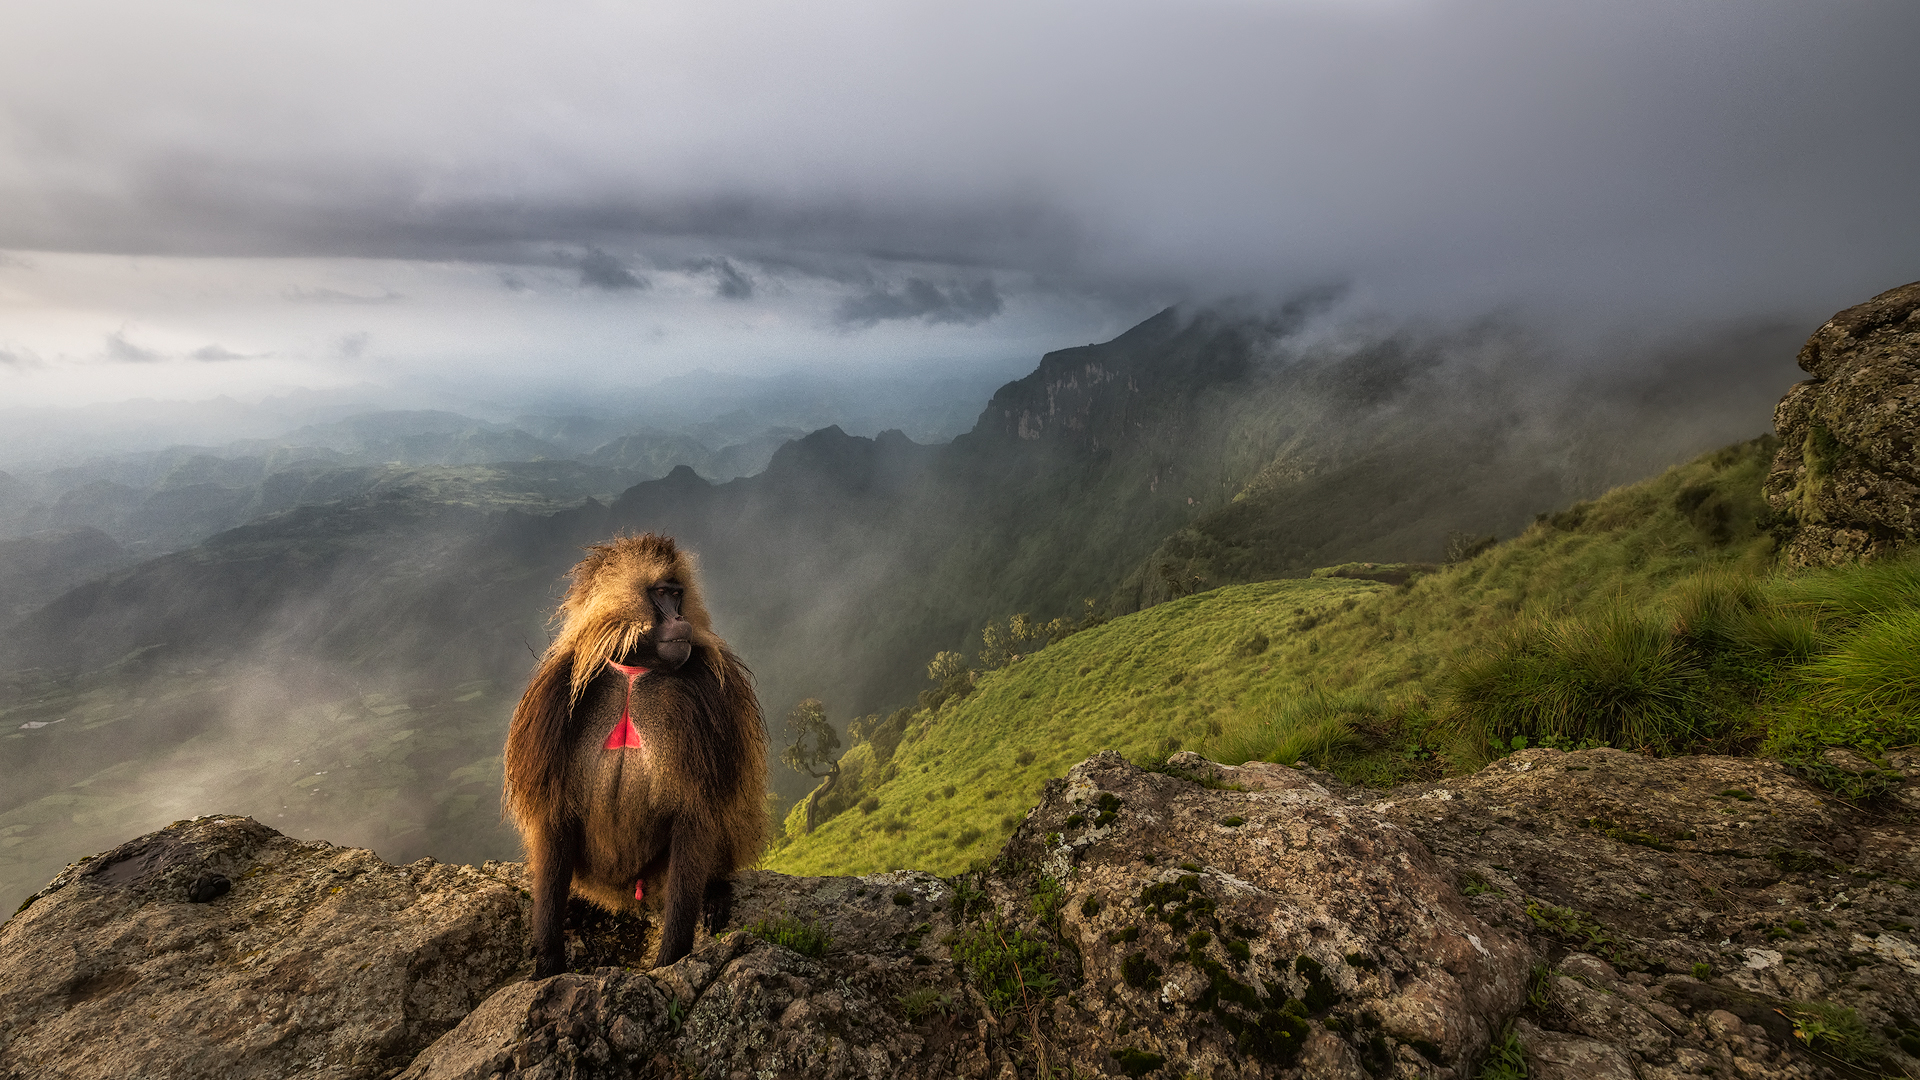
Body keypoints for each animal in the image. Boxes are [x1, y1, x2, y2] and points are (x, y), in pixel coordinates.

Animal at [504, 533, 766, 977]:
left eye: (678, 595)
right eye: (661, 594)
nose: (680, 620)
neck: (633, 671)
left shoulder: (712, 701)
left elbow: (696, 815)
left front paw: (671, 958)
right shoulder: (553, 699)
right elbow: (554, 817)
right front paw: (549, 959)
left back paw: (714, 890)